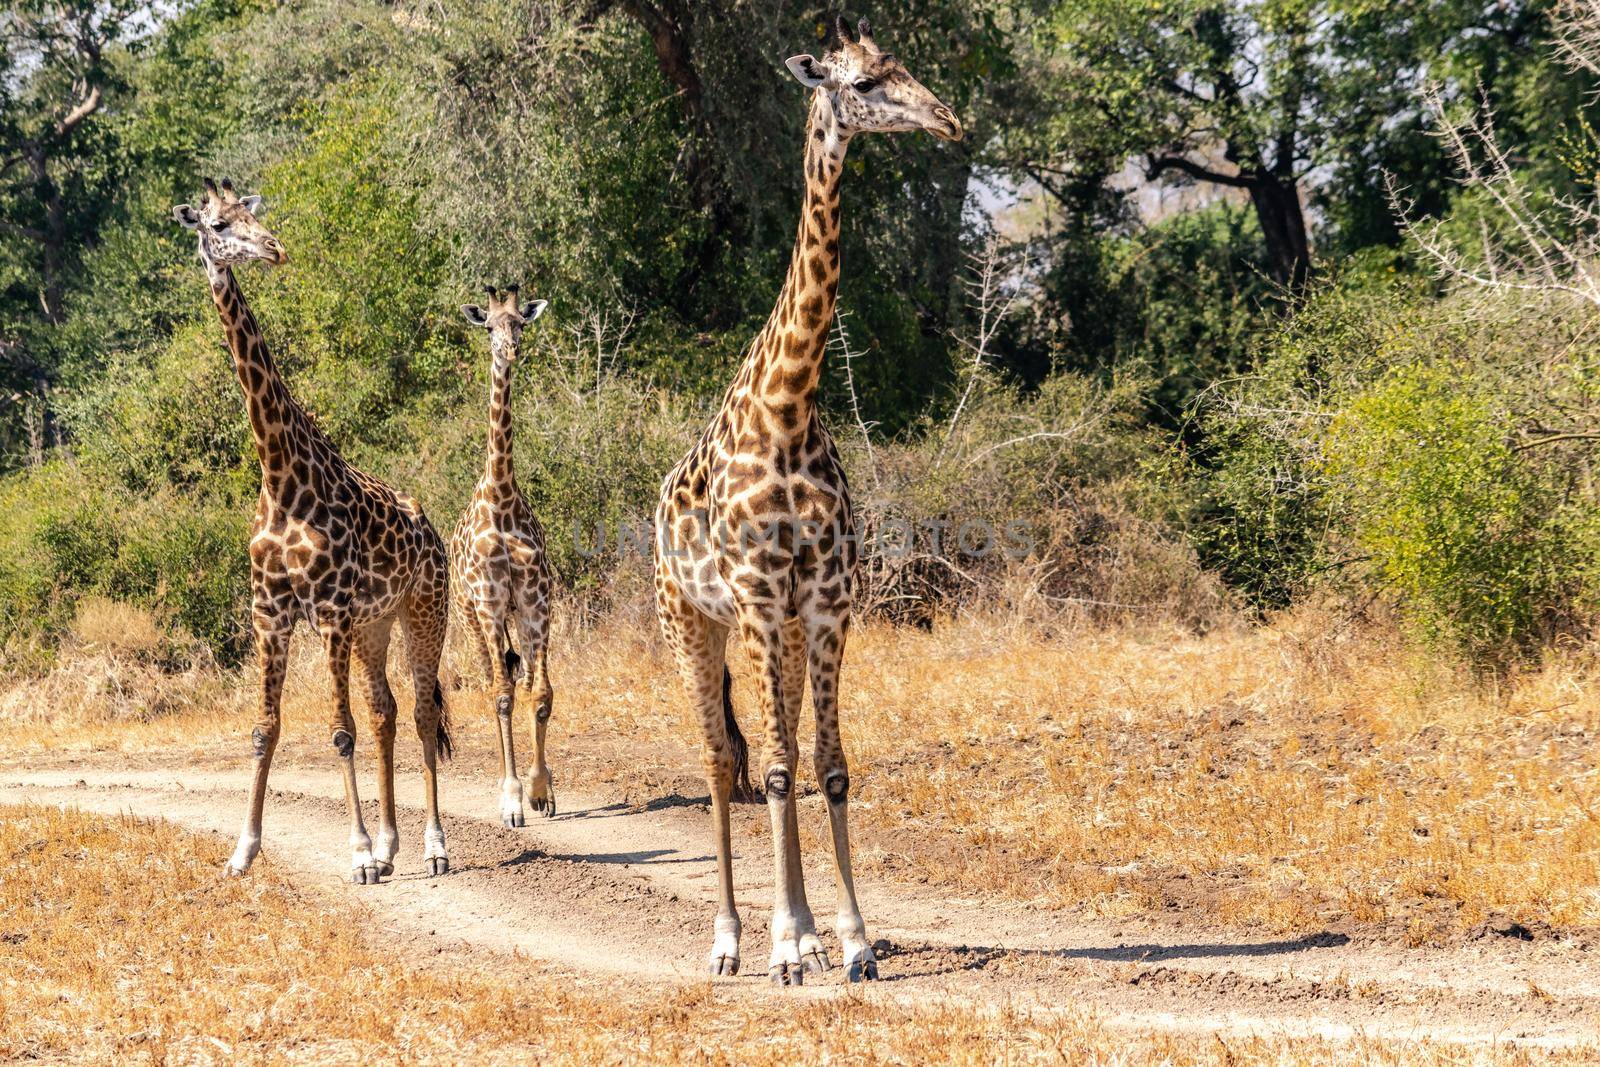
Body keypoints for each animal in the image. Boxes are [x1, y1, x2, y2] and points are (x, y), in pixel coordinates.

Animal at [172, 179, 454, 883]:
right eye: (219, 225)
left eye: (251, 216)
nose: (274, 249)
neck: (279, 475)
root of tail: (434, 531)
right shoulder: (270, 613)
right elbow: (265, 729)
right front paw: (243, 850)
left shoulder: (327, 611)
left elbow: (339, 729)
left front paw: (355, 854)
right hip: (374, 626)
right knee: (386, 711)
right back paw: (391, 845)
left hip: (424, 610)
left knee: (422, 711)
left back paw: (433, 847)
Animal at [652, 18, 960, 985]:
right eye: (862, 82)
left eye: (905, 67)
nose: (949, 119)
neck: (789, 403)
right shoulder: (754, 596)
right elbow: (778, 766)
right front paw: (786, 943)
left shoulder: (823, 601)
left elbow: (827, 762)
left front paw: (852, 938)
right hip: (691, 620)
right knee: (722, 760)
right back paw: (731, 940)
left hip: (777, 631)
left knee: (770, 748)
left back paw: (808, 933)